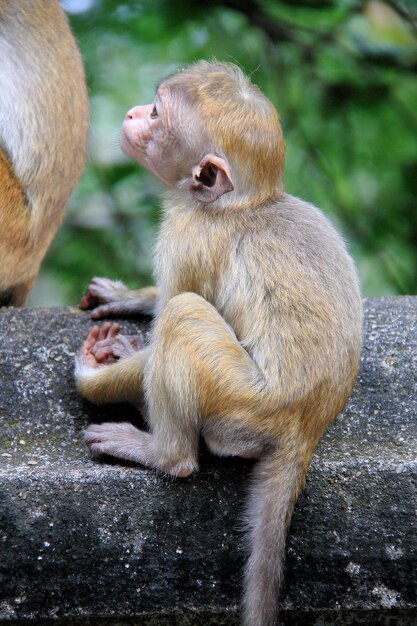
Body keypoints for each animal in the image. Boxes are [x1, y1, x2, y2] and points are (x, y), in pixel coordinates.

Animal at [74, 59, 360, 624]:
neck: (237, 204)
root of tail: (307, 424)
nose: (133, 113)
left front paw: (94, 375)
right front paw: (127, 296)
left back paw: (163, 453)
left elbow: (177, 303)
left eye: (157, 112)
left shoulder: (188, 233)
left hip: (242, 406)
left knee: (185, 318)